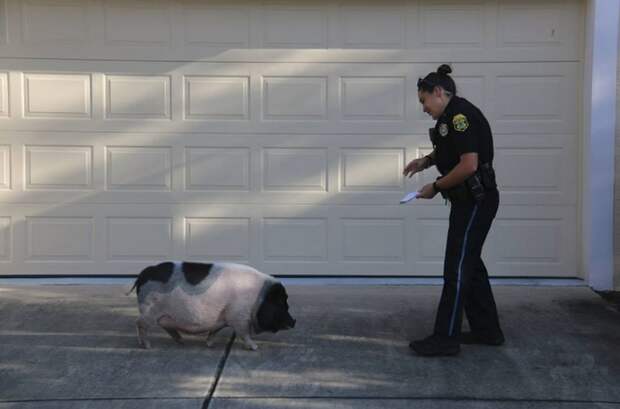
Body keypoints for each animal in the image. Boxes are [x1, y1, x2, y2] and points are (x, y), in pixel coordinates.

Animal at [128, 260, 296, 350]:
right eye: (281, 303)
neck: (258, 298)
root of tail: (143, 274)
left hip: (162, 314)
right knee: (139, 323)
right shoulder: (239, 317)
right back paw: (147, 346)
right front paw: (255, 347)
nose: (294, 321)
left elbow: (214, 331)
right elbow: (244, 333)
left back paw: (181, 341)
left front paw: (210, 345)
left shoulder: (222, 318)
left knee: (165, 326)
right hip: (149, 309)